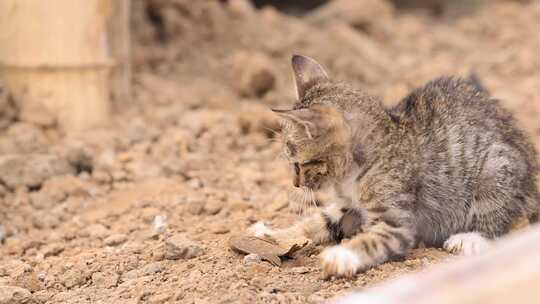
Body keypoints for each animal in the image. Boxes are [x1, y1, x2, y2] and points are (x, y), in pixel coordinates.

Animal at [251, 54, 536, 278]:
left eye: (299, 164)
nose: (296, 183)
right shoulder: (348, 204)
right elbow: (319, 220)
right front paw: (272, 235)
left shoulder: (397, 222)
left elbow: (372, 241)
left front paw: (340, 256)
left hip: (495, 168)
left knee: (501, 218)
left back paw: (470, 238)